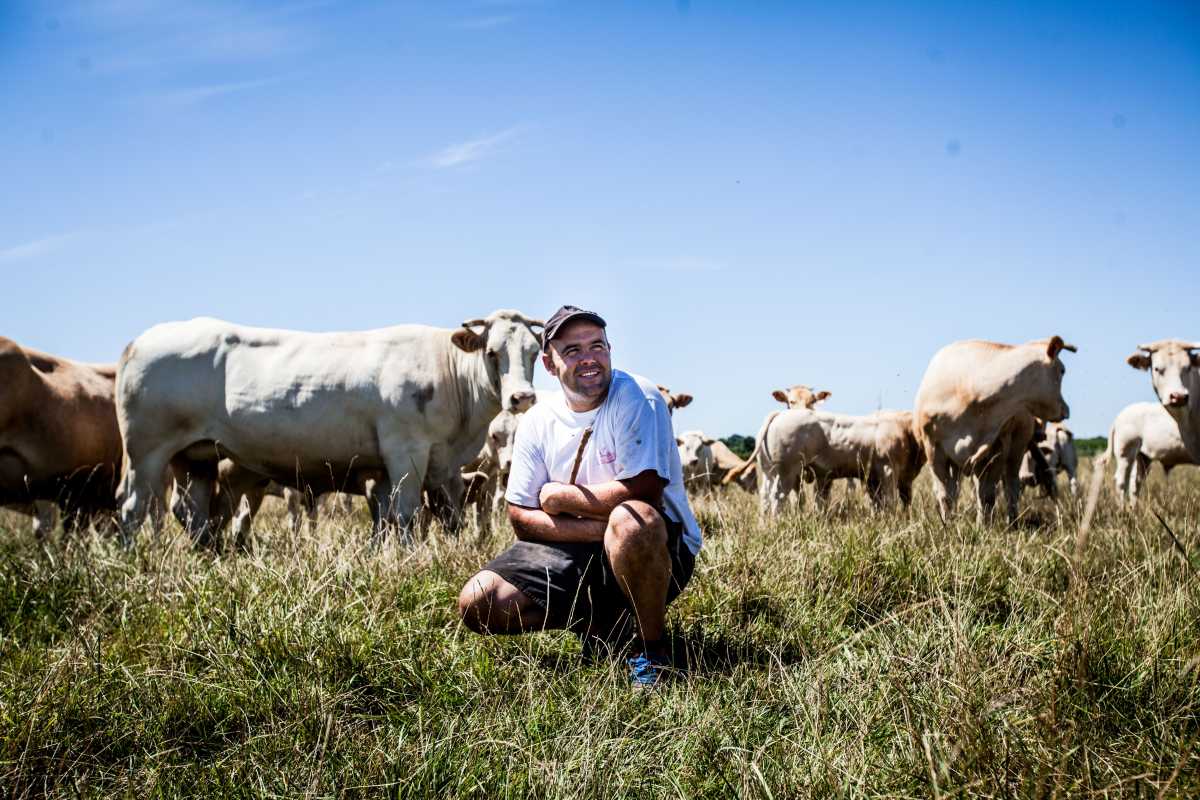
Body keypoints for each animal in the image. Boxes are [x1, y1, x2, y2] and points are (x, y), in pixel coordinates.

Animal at [114, 309, 542, 546]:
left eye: (534, 352)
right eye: (492, 352)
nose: (522, 397)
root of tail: (140, 341)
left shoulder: (396, 469)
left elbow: (394, 518)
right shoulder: (406, 451)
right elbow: (405, 515)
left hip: (194, 457)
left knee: (191, 509)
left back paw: (207, 554)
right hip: (147, 452)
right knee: (134, 508)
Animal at [912, 335, 1075, 522]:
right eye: (1062, 370)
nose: (1066, 410)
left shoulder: (997, 448)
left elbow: (988, 495)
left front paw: (983, 525)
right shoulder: (933, 448)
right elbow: (946, 495)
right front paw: (948, 524)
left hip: (1016, 447)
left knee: (1011, 487)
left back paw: (1012, 522)